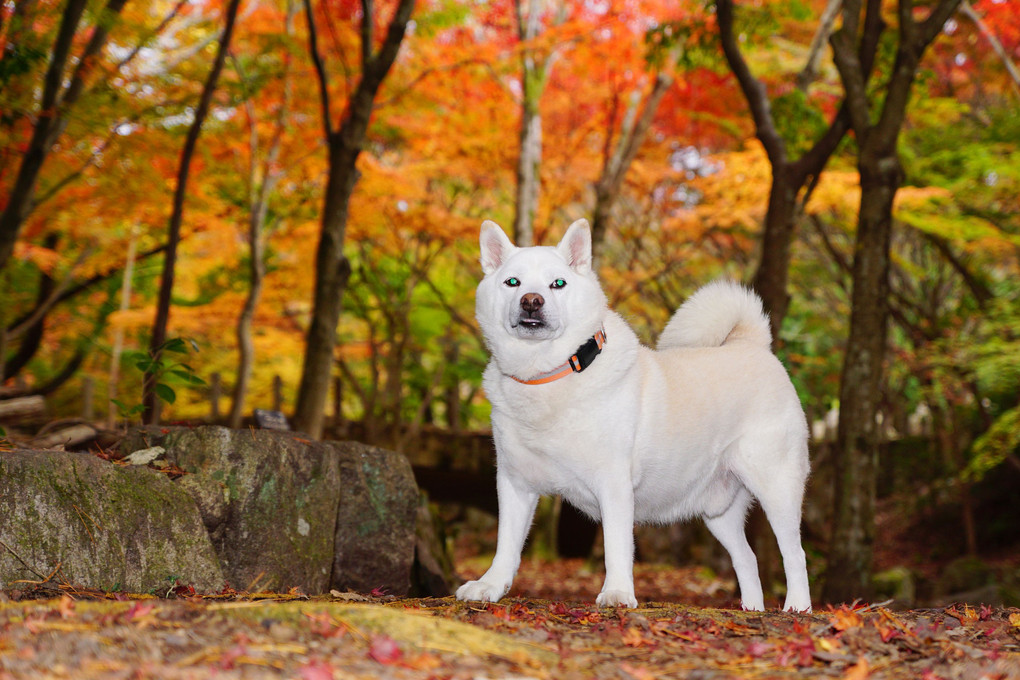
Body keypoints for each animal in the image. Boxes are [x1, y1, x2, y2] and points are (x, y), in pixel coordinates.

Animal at [456, 219, 811, 611]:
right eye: (512, 282)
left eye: (557, 283)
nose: (531, 301)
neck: (546, 377)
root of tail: (752, 344)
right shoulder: (514, 483)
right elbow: (506, 545)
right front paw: (490, 586)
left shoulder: (613, 484)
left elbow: (616, 546)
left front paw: (617, 592)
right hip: (718, 512)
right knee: (747, 558)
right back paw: (753, 609)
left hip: (777, 487)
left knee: (795, 554)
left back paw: (797, 607)